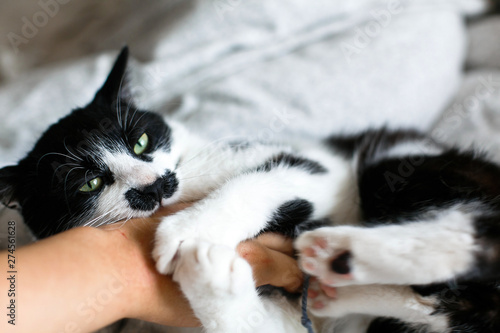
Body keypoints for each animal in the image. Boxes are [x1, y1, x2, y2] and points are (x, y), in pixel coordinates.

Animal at [0, 47, 500, 332]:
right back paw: (339, 288)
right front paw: (215, 279)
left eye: (139, 140)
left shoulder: (319, 169)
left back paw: (340, 251)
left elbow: (257, 182)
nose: (155, 186)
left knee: (479, 227)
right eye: (90, 183)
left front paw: (190, 234)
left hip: (396, 164)